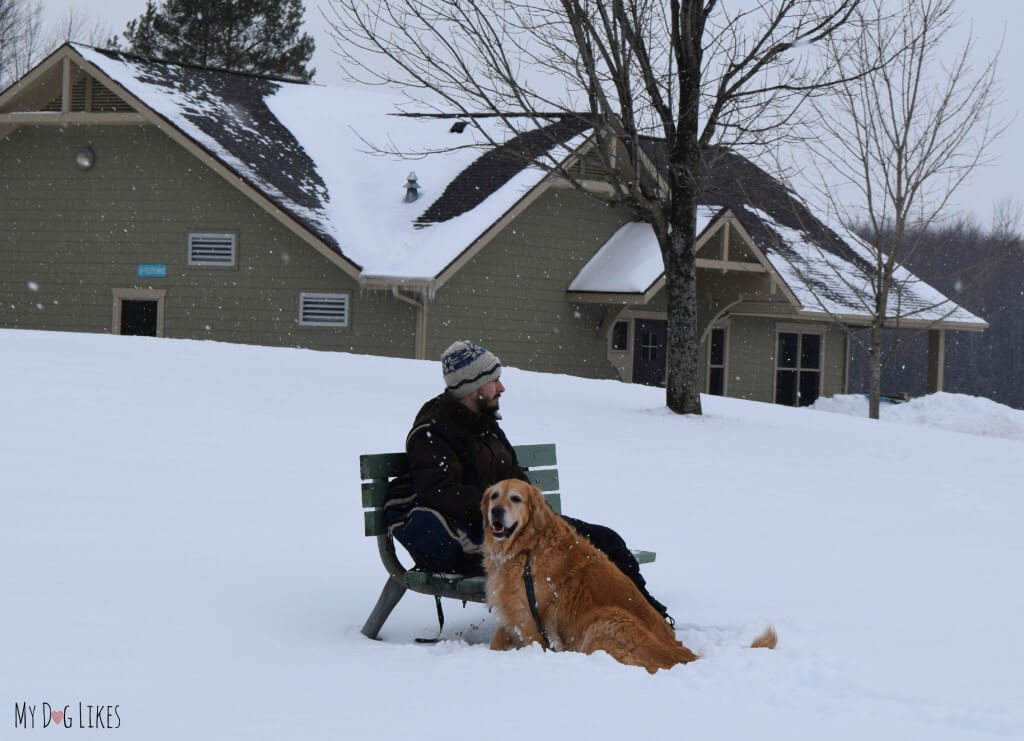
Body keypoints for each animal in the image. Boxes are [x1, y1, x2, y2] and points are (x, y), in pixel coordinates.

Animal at [479, 476, 774, 675]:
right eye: (494, 496)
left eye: (515, 498)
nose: (496, 511)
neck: (526, 547)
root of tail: (684, 653)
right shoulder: (512, 616)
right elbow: (496, 641)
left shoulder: (531, 619)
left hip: (605, 619)